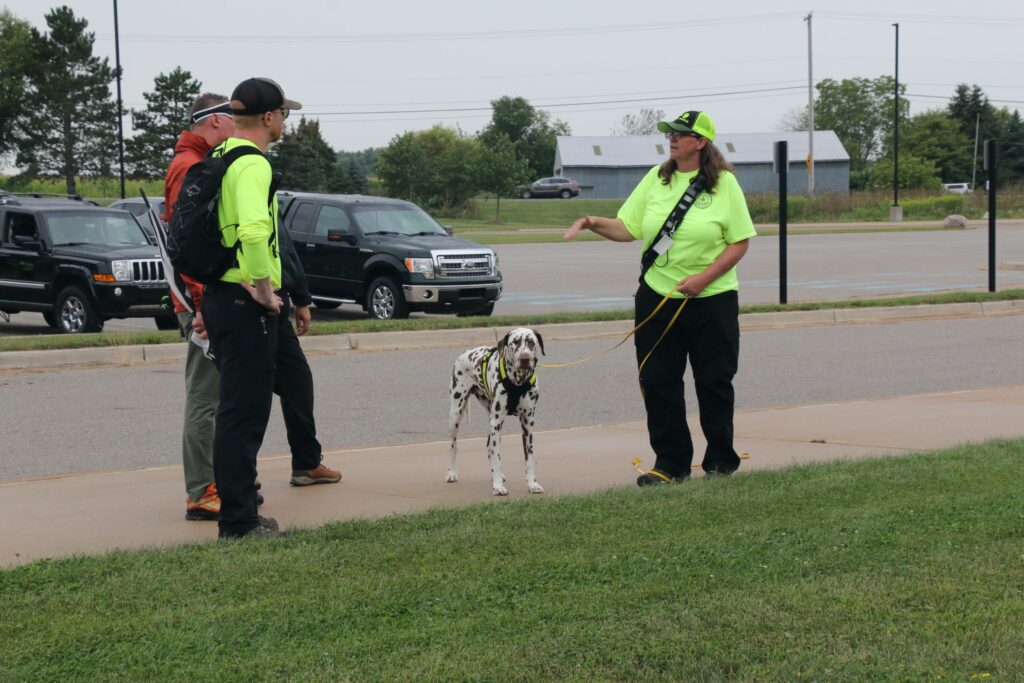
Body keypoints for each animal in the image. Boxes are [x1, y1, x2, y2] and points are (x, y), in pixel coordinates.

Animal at [446, 327, 544, 497]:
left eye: (531, 342)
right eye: (515, 342)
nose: (524, 358)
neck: (517, 383)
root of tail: (466, 352)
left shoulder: (528, 425)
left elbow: (529, 459)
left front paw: (532, 484)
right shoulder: (496, 422)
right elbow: (496, 457)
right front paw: (498, 487)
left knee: (489, 446)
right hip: (456, 414)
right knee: (454, 445)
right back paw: (452, 473)